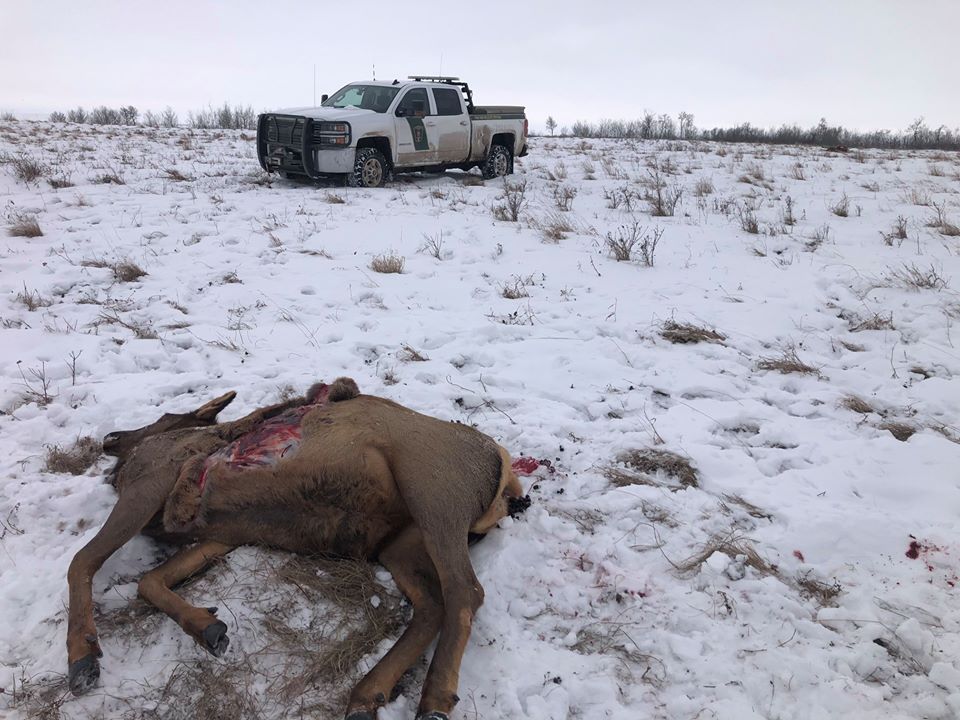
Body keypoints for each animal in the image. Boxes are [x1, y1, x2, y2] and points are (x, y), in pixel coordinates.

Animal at [65, 377, 529, 720]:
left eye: (161, 417)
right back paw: (368, 693)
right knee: (432, 603)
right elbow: (149, 580)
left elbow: (81, 561)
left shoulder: (153, 479)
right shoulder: (220, 534)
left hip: (432, 490)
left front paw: (82, 658)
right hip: (401, 544)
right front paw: (208, 626)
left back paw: (433, 699)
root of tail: (507, 475)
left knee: (465, 591)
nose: (110, 438)